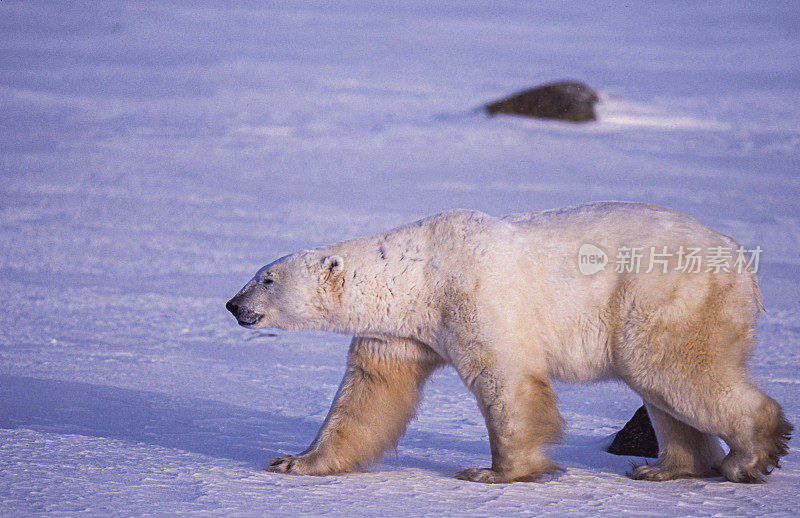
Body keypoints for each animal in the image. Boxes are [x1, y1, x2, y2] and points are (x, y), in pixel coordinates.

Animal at [227, 202, 792, 484]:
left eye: (267, 279)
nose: (233, 304)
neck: (420, 272)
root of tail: (740, 260)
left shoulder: (478, 293)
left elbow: (505, 379)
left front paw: (493, 472)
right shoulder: (399, 331)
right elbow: (369, 393)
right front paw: (294, 461)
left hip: (665, 294)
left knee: (671, 369)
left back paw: (748, 459)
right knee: (662, 387)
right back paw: (661, 468)